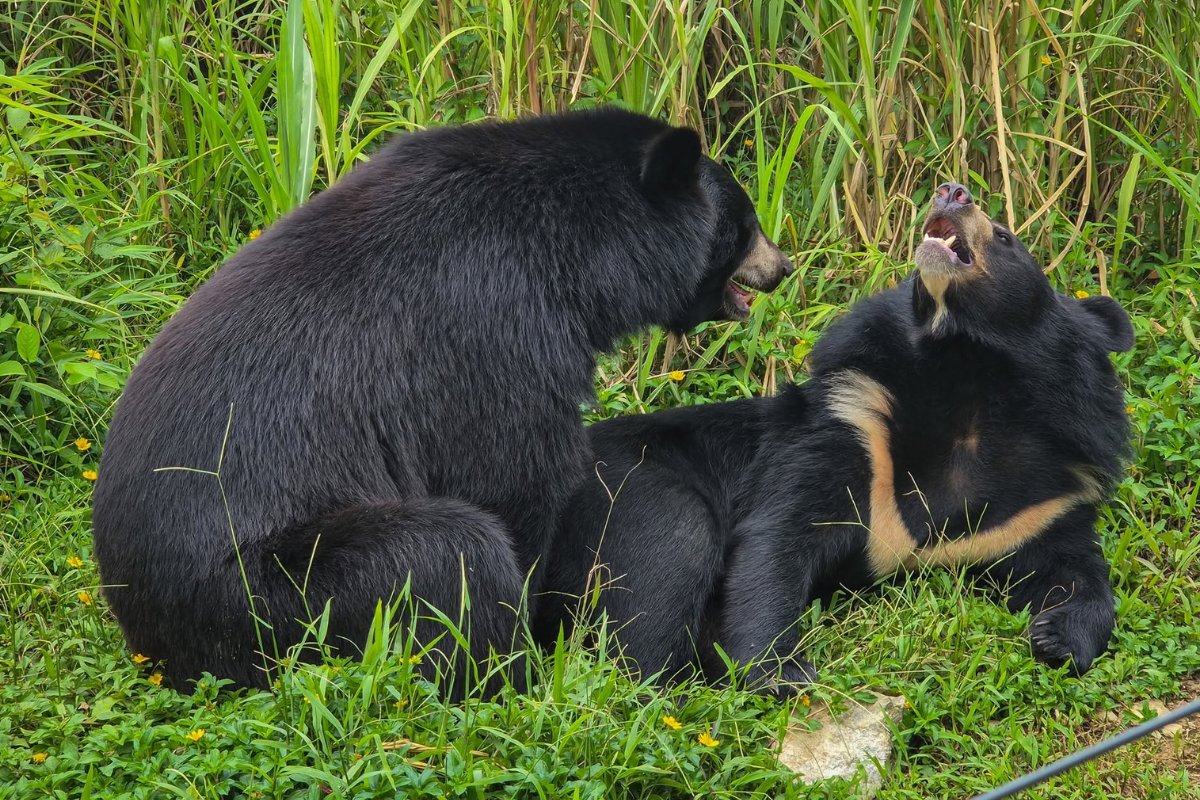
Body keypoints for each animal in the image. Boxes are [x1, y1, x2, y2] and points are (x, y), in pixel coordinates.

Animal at [92, 108, 792, 692]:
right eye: (746, 222)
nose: (783, 266)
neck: (580, 253)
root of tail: (148, 633)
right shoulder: (495, 329)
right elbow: (511, 475)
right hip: (272, 590)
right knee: (446, 551)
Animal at [536, 181, 1133, 693]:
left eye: (1006, 237)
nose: (951, 190)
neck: (967, 378)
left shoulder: (1039, 501)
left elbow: (1075, 571)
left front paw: (1057, 640)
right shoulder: (853, 422)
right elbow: (776, 541)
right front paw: (782, 672)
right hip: (630, 493)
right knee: (667, 559)